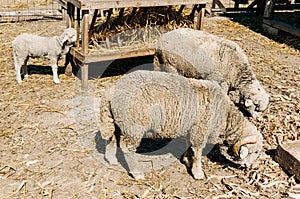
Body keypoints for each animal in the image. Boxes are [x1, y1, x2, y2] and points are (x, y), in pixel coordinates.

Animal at [99, 70, 262, 180]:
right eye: (253, 152)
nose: (247, 167)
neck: (225, 118)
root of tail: (112, 91)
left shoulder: (191, 130)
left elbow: (189, 147)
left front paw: (186, 160)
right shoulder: (200, 131)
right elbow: (197, 152)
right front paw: (197, 172)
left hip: (118, 121)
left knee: (111, 138)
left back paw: (112, 160)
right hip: (134, 127)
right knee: (127, 149)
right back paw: (137, 173)